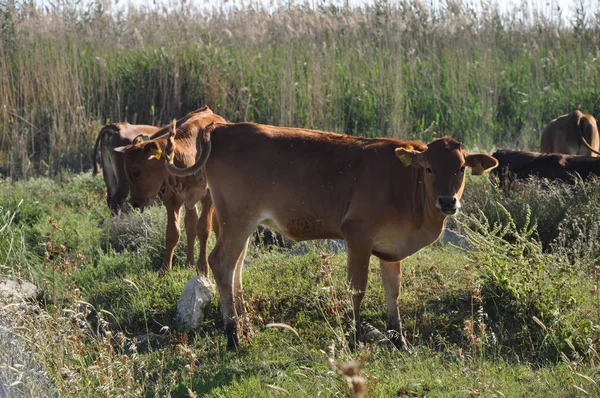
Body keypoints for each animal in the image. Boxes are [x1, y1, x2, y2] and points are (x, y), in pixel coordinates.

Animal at [113, 105, 226, 276]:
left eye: (137, 172)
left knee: (212, 226)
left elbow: (204, 229)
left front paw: (203, 268)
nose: (135, 202)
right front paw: (165, 269)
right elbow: (173, 232)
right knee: (190, 224)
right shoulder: (171, 197)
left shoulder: (208, 197)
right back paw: (189, 263)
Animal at [163, 123, 496, 350]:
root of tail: (223, 128)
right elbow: (357, 289)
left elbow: (393, 291)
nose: (448, 201)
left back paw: (246, 327)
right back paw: (233, 335)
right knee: (221, 263)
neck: (405, 186)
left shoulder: (391, 248)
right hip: (237, 219)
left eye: (461, 167)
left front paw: (399, 340)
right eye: (428, 168)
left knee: (236, 268)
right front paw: (356, 338)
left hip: (238, 223)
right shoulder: (358, 234)